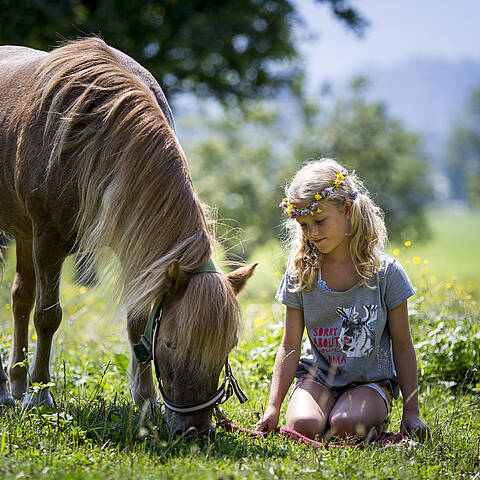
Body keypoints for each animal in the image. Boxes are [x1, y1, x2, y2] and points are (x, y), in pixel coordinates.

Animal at [0, 36, 256, 436]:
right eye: (171, 344)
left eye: (228, 347)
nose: (195, 431)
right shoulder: (48, 239)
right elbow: (48, 316)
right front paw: (40, 396)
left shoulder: (135, 243)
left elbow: (137, 320)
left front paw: (146, 401)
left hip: (23, 234)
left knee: (19, 298)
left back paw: (15, 383)